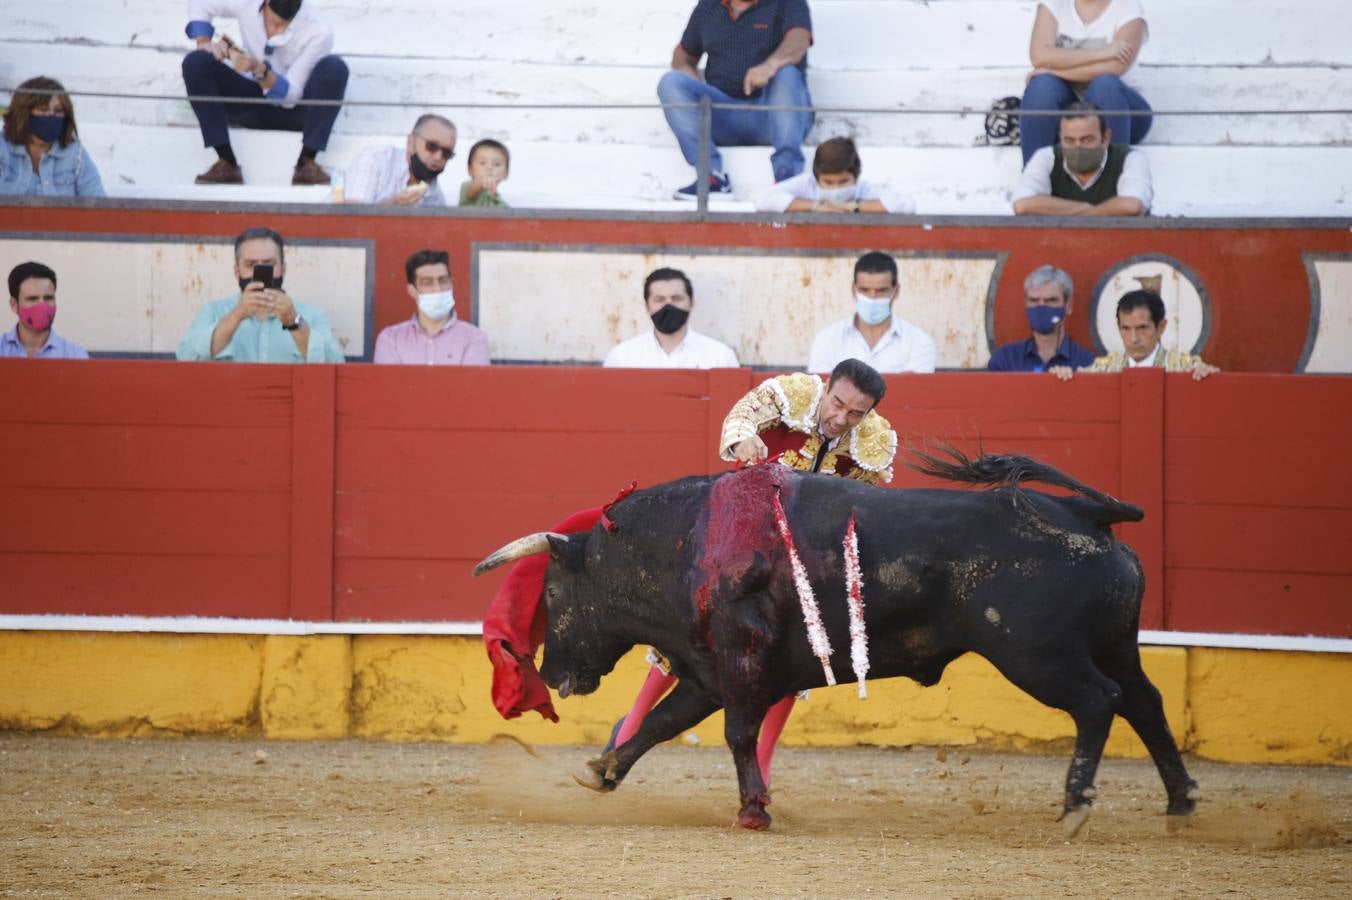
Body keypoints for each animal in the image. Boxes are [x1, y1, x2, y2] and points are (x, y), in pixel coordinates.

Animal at [473, 451, 1195, 832]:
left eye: (553, 595)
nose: (552, 673)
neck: (688, 541)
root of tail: (1086, 513)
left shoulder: (740, 660)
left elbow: (735, 733)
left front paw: (754, 810)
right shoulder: (708, 670)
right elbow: (661, 724)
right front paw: (603, 770)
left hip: (1038, 656)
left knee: (1099, 702)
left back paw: (1075, 806)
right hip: (1114, 643)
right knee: (1146, 703)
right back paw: (1181, 802)